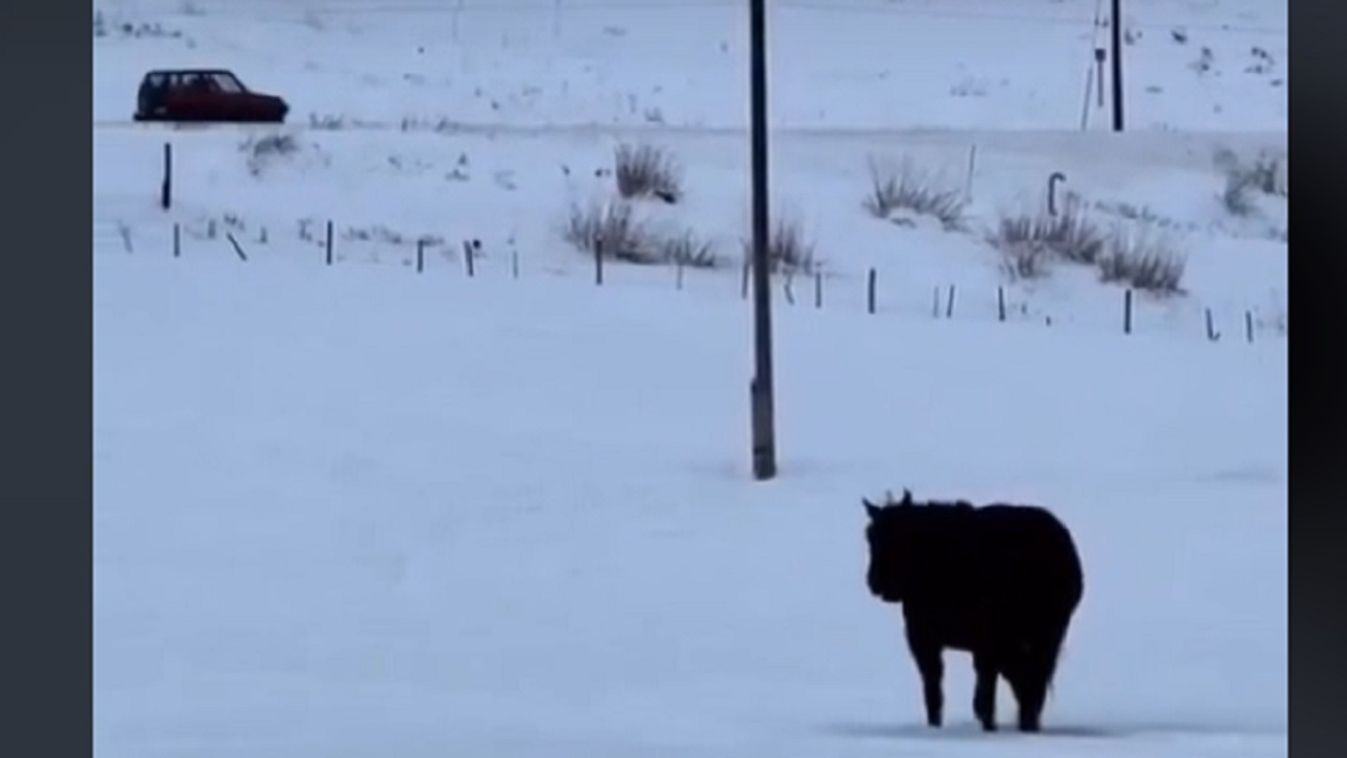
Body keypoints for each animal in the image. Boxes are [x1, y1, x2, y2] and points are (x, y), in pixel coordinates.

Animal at [862, 490, 1082, 732]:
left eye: (902, 537)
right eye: (869, 536)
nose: (876, 582)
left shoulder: (975, 641)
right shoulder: (927, 639)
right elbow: (935, 689)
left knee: (1026, 682)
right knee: (1028, 682)